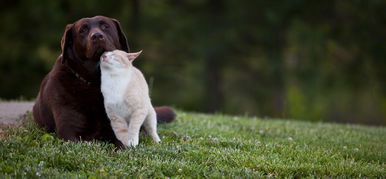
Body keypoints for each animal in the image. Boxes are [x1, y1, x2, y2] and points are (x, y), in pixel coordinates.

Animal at [33, 16, 175, 148]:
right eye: (83, 30)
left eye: (105, 26)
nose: (97, 36)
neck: (95, 82)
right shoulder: (68, 133)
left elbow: (122, 142)